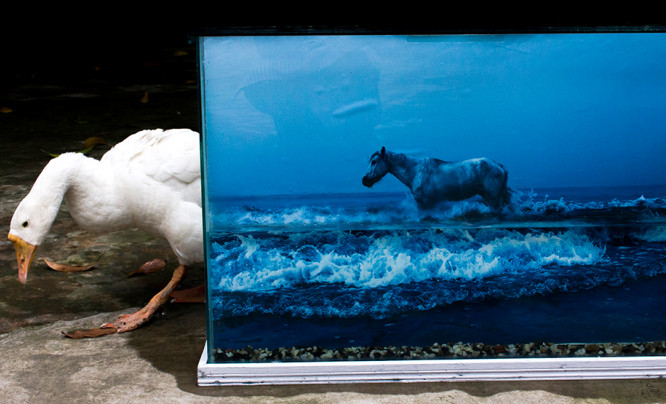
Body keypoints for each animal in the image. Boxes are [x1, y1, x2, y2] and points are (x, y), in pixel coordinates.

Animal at [364, 148, 508, 211]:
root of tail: (499, 166)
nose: (364, 180)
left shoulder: (425, 204)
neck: (415, 171)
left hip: (493, 198)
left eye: (374, 161)